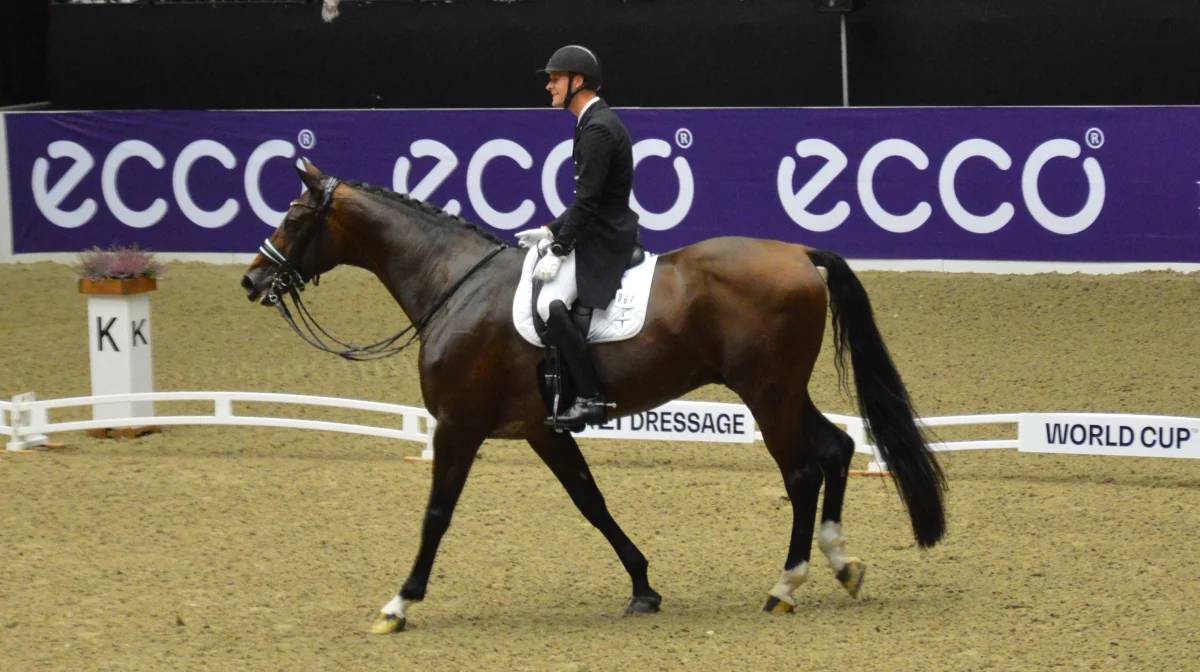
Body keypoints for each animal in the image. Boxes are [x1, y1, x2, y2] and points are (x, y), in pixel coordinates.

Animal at [236, 159, 945, 633]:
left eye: (294, 217)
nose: (252, 280)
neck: (455, 285)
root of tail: (798, 251)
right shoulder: (541, 429)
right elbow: (592, 504)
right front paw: (644, 587)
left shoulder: (458, 424)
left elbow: (436, 513)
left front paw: (399, 603)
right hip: (782, 390)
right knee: (838, 448)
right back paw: (842, 564)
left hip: (766, 393)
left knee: (801, 471)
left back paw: (786, 583)